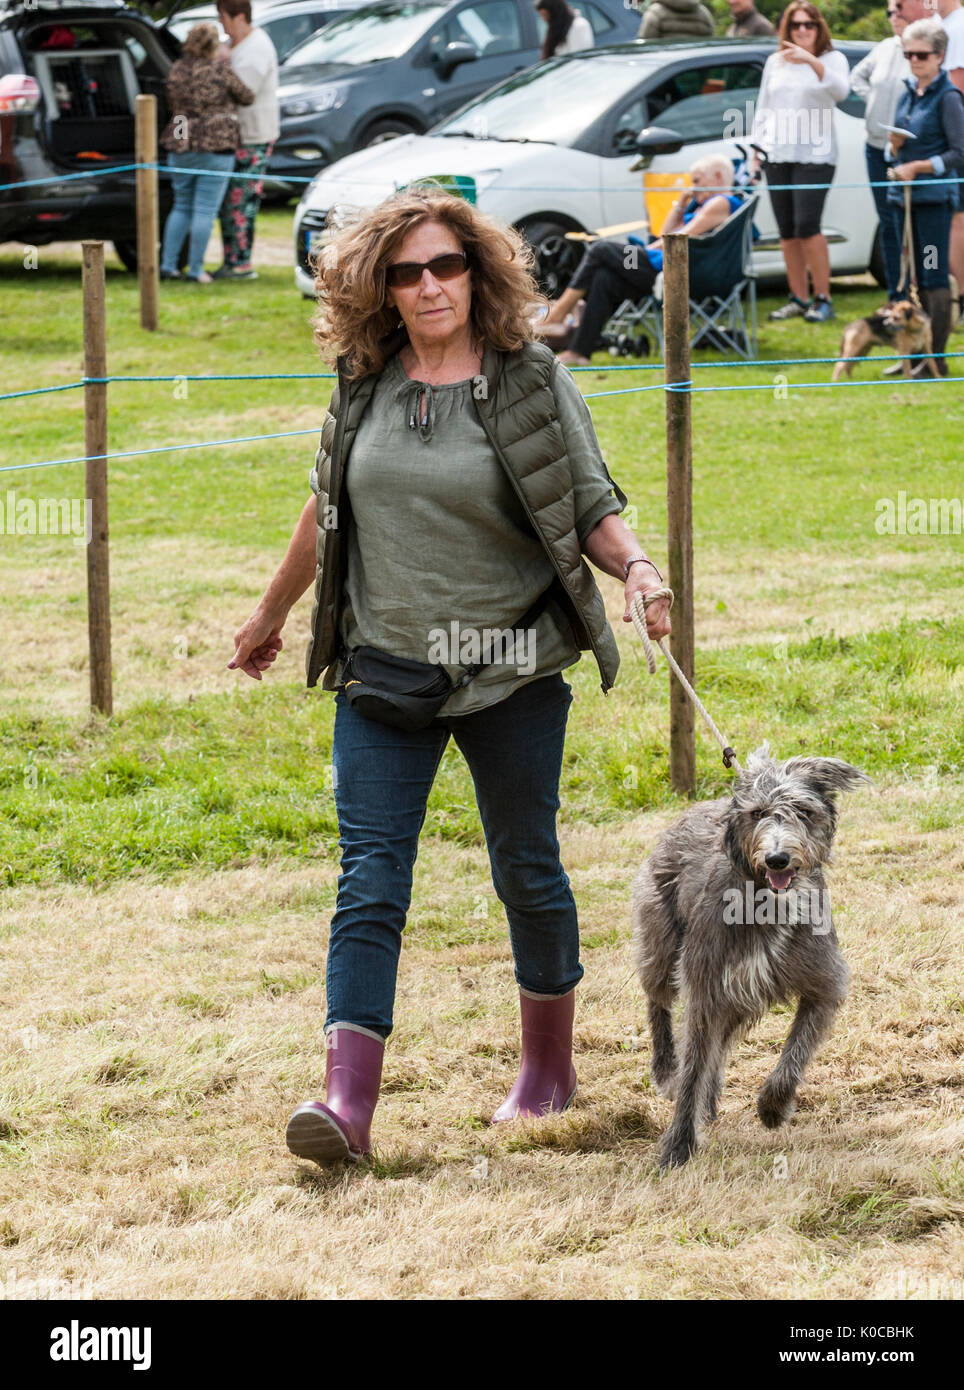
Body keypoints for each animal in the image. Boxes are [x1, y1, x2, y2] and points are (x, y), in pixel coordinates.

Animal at [633, 745, 866, 1167]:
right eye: (757, 813)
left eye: (803, 810)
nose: (777, 859)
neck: (767, 903)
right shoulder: (707, 986)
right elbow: (692, 1067)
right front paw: (679, 1145)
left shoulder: (823, 983)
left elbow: (795, 1052)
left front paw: (773, 1107)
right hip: (661, 936)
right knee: (658, 1000)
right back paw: (665, 1068)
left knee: (718, 1045)